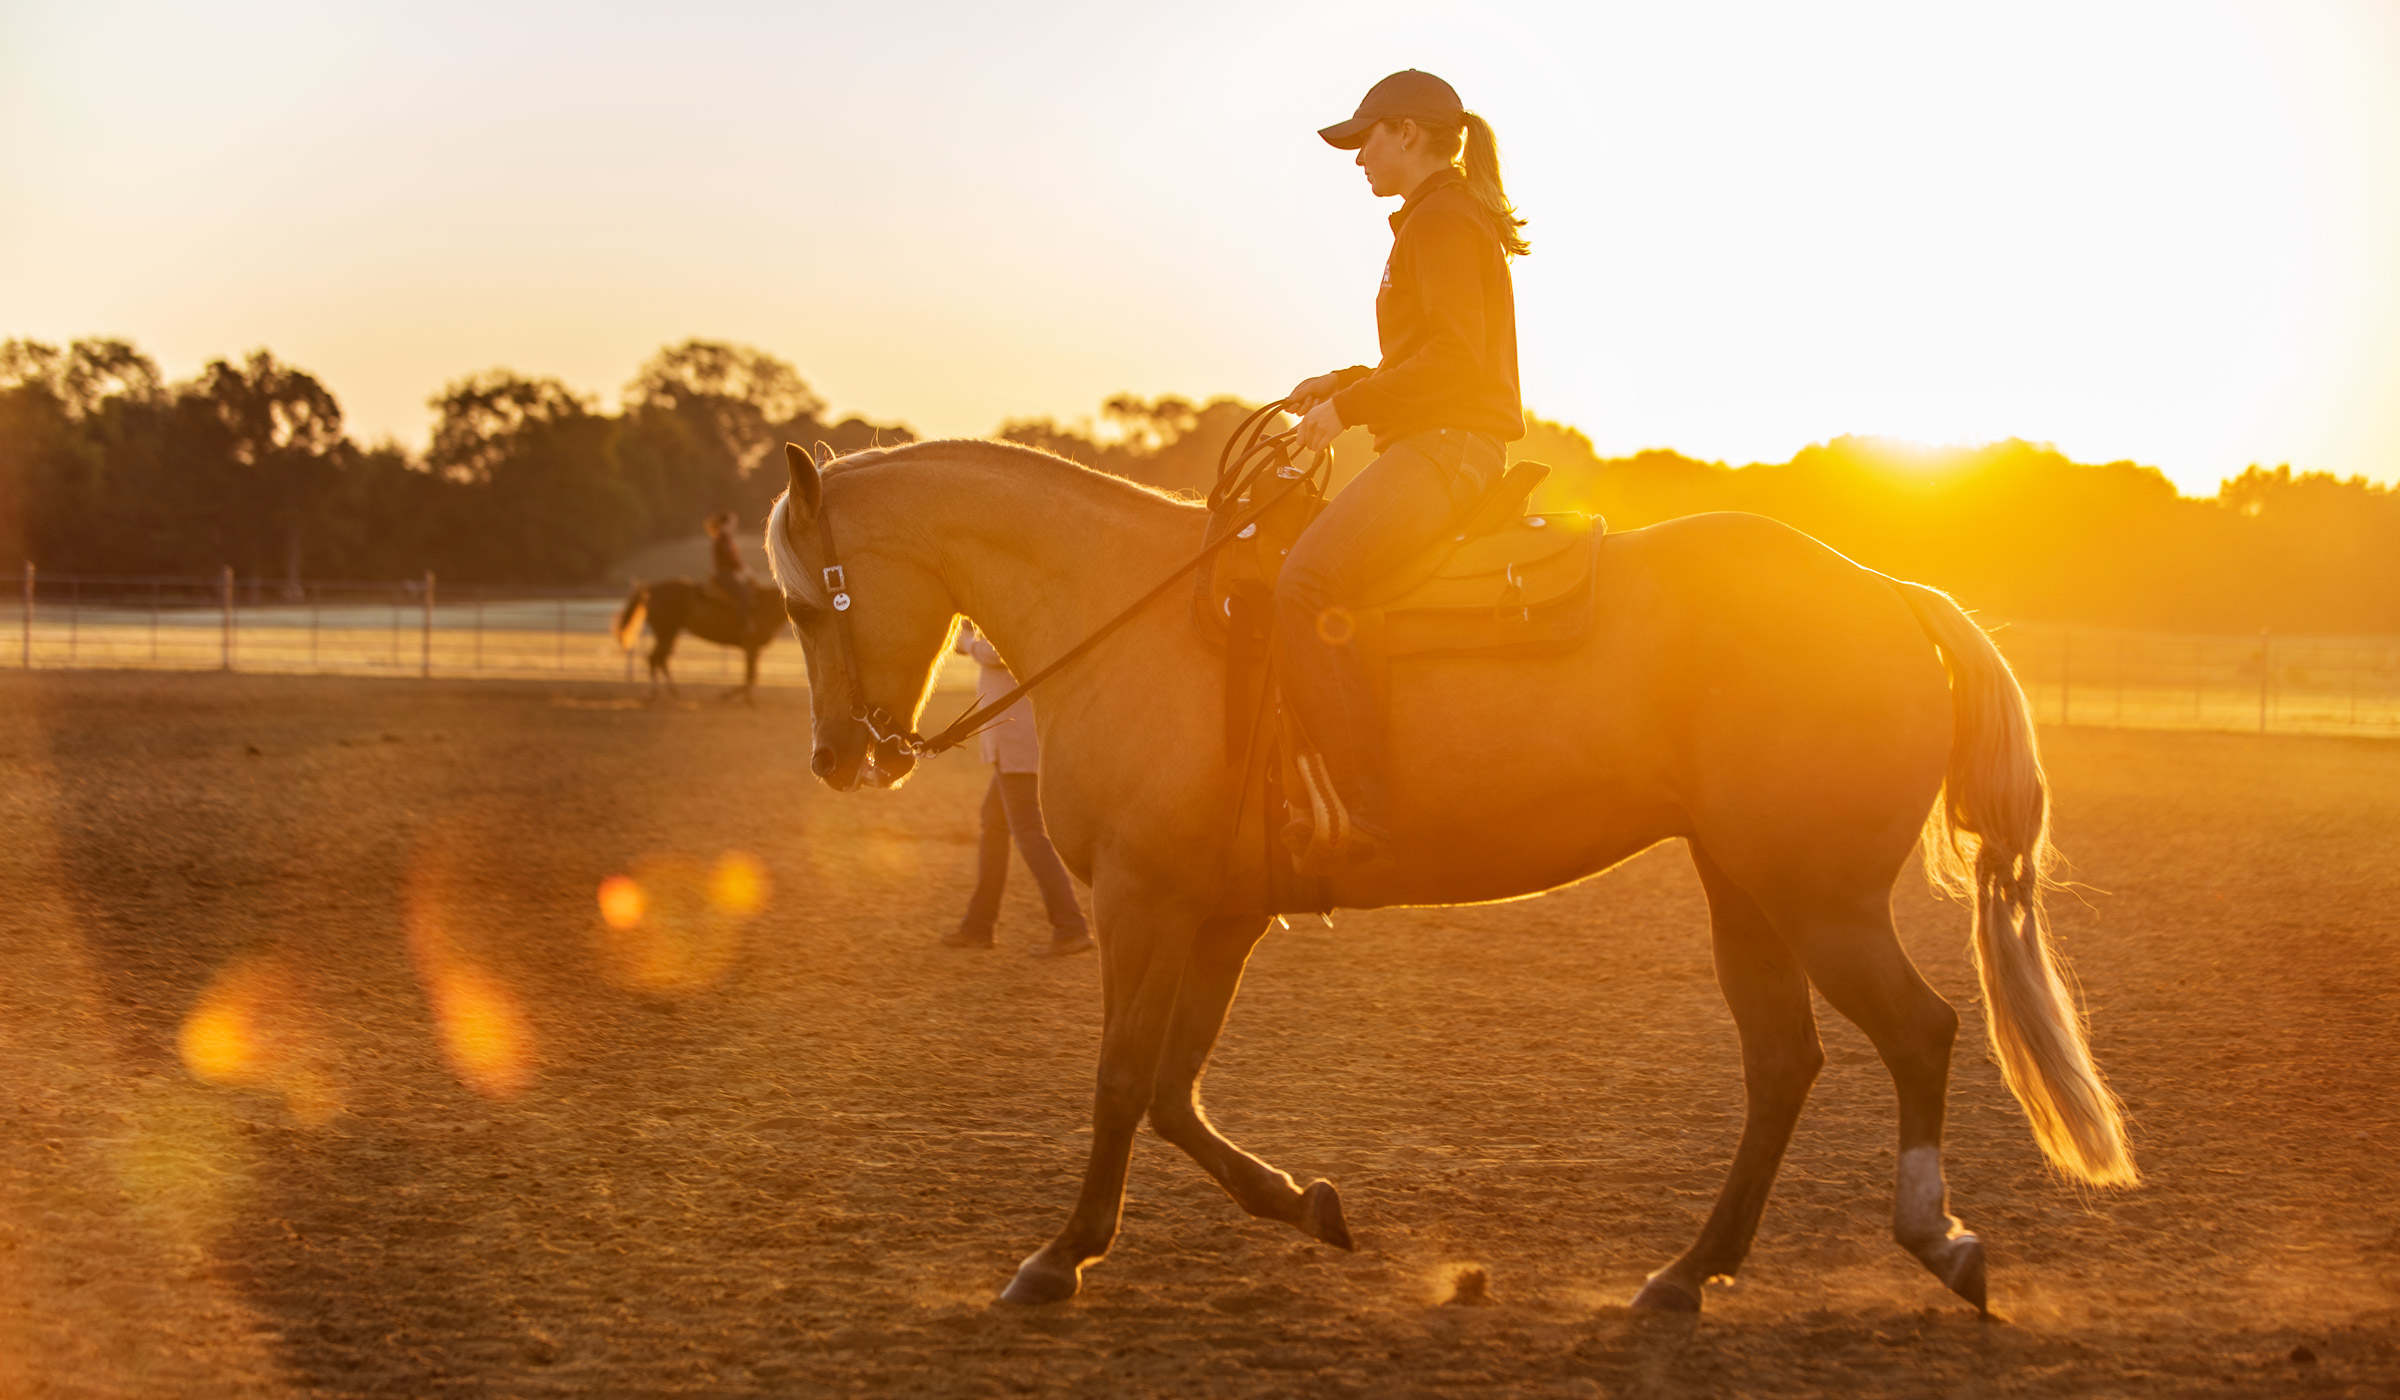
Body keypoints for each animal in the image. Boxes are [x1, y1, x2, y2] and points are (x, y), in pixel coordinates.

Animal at [614, 576, 782, 701]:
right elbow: (751, 675)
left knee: (660, 659)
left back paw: (671, 691)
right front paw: (733, 697)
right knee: (655, 659)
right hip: (665, 633)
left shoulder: (753, 649)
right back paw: (655, 692)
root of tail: (650, 590)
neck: (765, 606)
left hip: (669, 634)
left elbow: (752, 674)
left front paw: (744, 698)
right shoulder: (750, 645)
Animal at [758, 437, 2131, 1315]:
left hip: (1818, 899)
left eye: (809, 606)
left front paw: (1060, 1256)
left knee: (1919, 1030)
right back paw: (1688, 1273)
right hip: (1745, 888)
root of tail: (1890, 590)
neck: (1126, 613)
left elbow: (1120, 1083)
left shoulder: (1147, 903)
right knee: (1784, 1063)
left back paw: (1936, 1238)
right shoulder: (1221, 914)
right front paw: (1306, 1201)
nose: (835, 758)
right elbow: (1172, 1091)